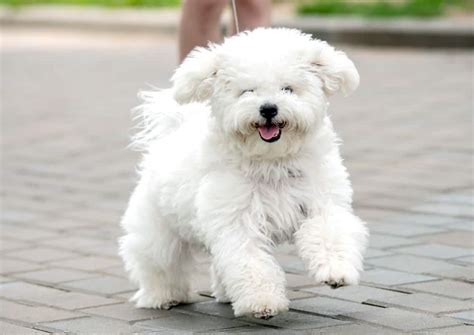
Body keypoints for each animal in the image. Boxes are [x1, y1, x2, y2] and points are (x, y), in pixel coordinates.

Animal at [118, 28, 366, 320]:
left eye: (288, 88)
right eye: (248, 91)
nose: (268, 108)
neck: (272, 161)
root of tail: (172, 132)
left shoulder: (322, 202)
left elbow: (329, 233)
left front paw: (336, 270)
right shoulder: (236, 221)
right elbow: (250, 261)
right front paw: (262, 301)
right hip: (158, 228)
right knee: (158, 262)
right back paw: (163, 296)